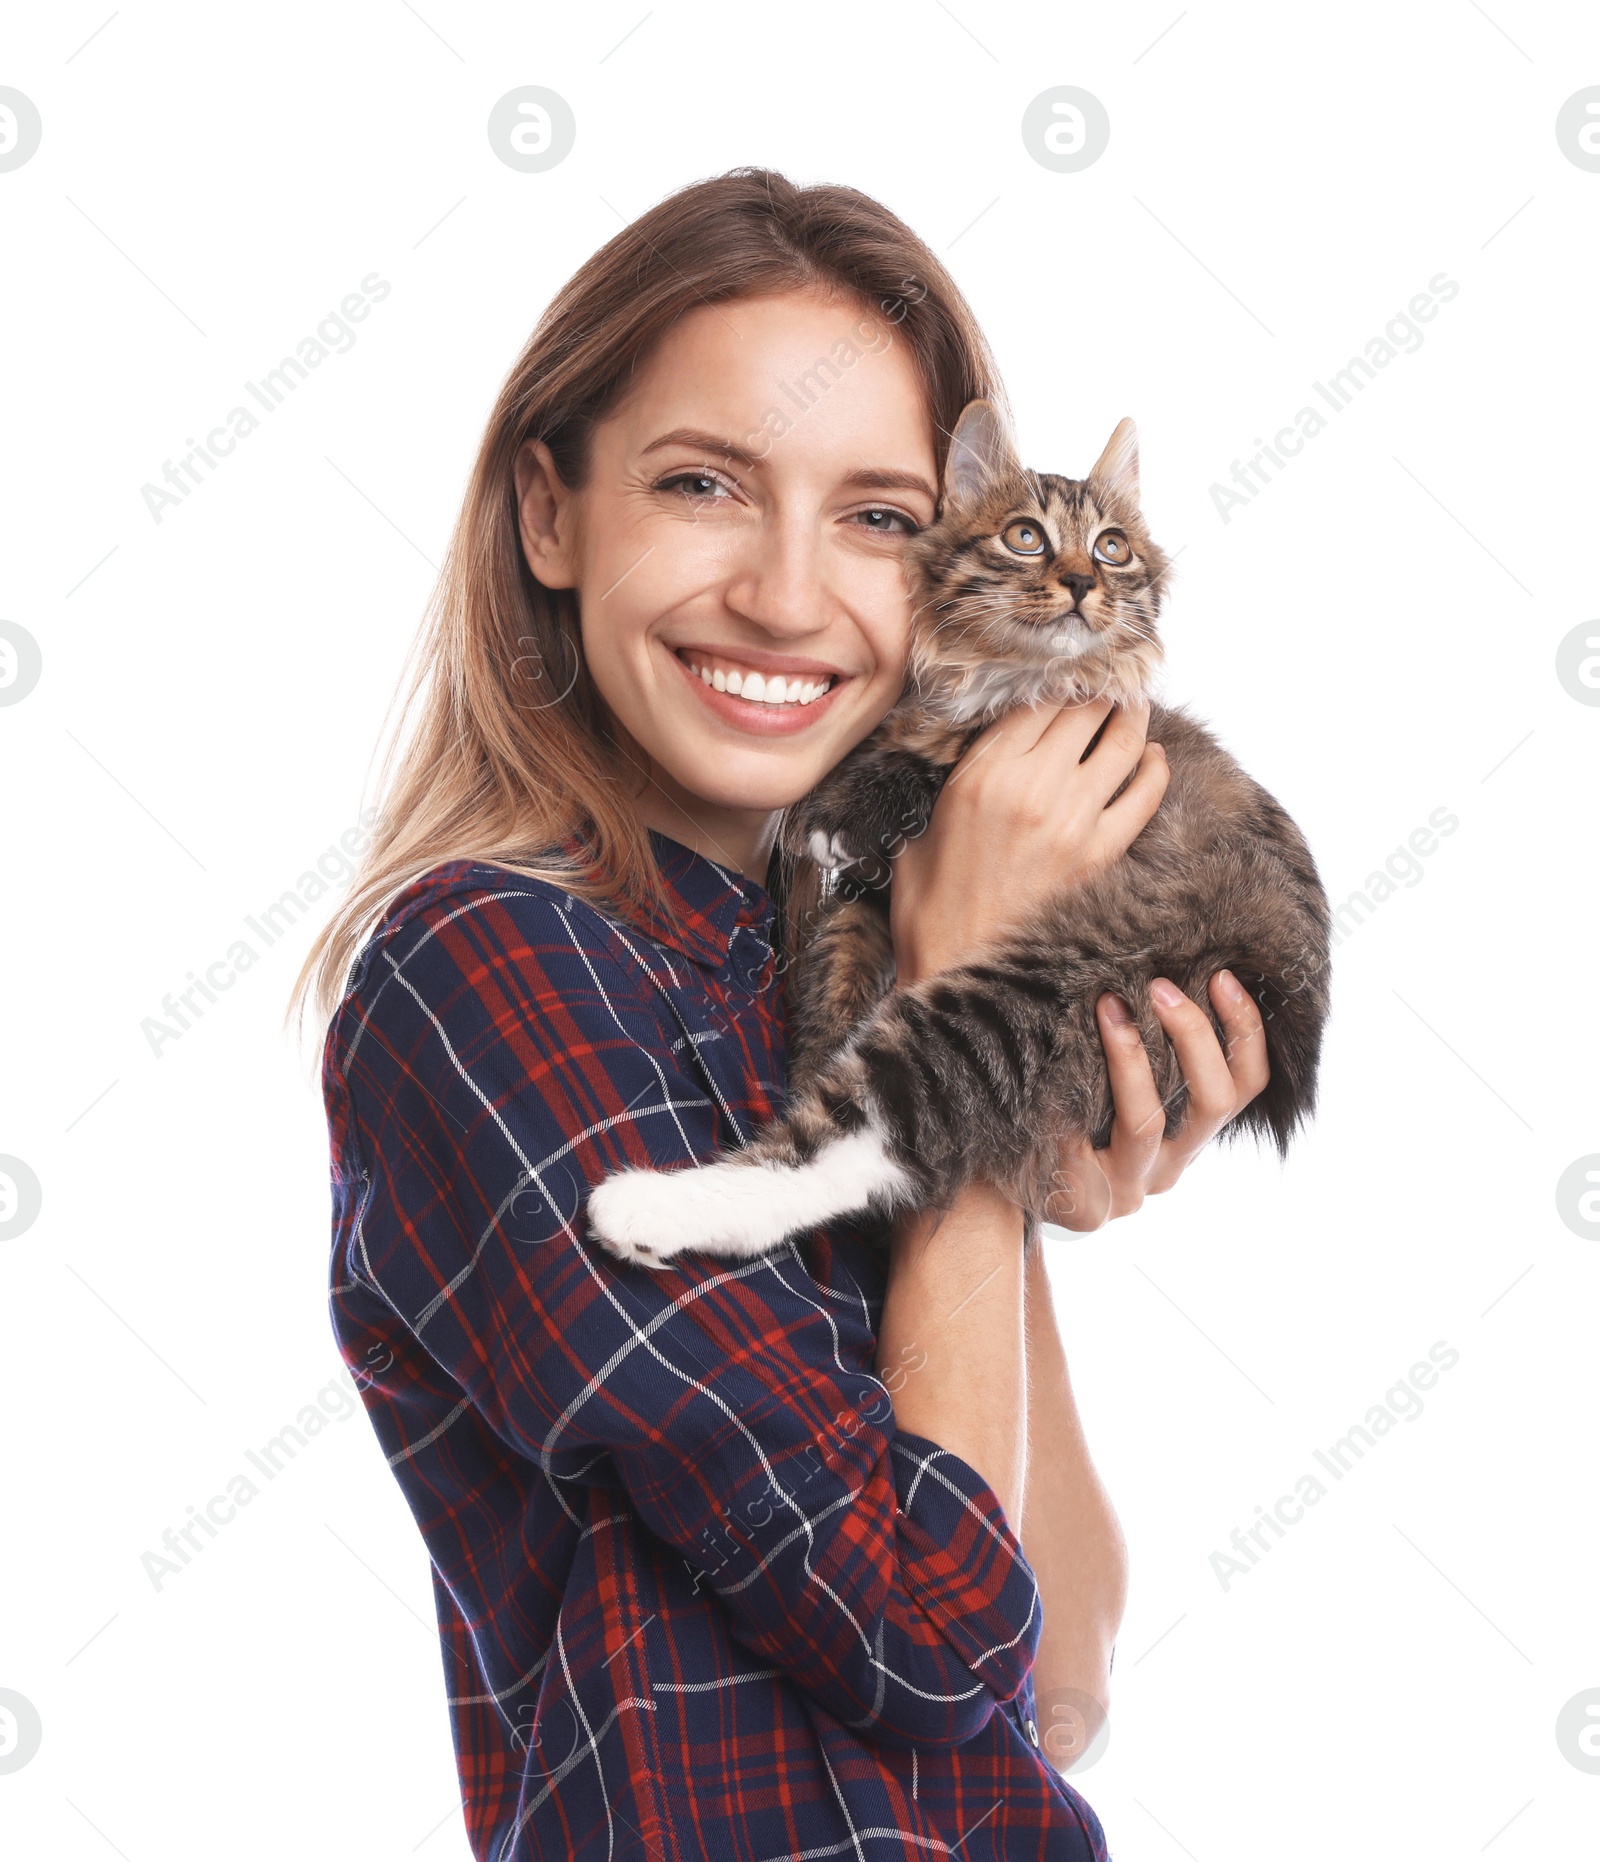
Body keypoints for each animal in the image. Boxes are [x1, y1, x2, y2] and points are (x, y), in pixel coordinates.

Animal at [581, 400, 1333, 1273]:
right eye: (1026, 536)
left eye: (1112, 548)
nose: (1083, 581)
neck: (1004, 672)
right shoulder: (868, 904)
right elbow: (833, 992)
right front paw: (809, 1050)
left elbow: (950, 755)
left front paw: (844, 806)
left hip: (1054, 986)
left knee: (864, 1136)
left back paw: (647, 1206)